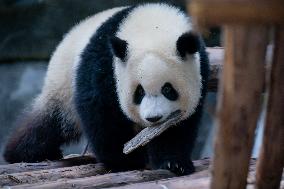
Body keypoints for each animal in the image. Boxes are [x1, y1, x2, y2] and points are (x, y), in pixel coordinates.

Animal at [3, 2, 209, 175]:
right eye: (139, 92)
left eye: (168, 89)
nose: (154, 118)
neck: (152, 27)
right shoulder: (105, 64)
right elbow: (101, 113)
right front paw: (124, 161)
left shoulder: (200, 70)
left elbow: (179, 126)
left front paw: (174, 162)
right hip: (63, 85)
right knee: (50, 122)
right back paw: (25, 152)